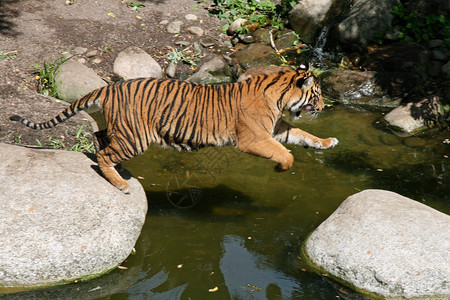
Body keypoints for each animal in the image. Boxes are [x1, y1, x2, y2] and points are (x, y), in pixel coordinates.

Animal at [9, 63, 338, 195]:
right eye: (317, 94)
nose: (324, 108)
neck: (279, 95)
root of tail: (110, 87)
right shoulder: (253, 139)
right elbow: (285, 153)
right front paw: (282, 169)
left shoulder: (277, 129)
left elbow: (302, 137)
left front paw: (327, 141)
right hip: (136, 138)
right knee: (103, 154)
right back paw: (120, 184)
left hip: (122, 133)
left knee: (99, 137)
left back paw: (112, 167)